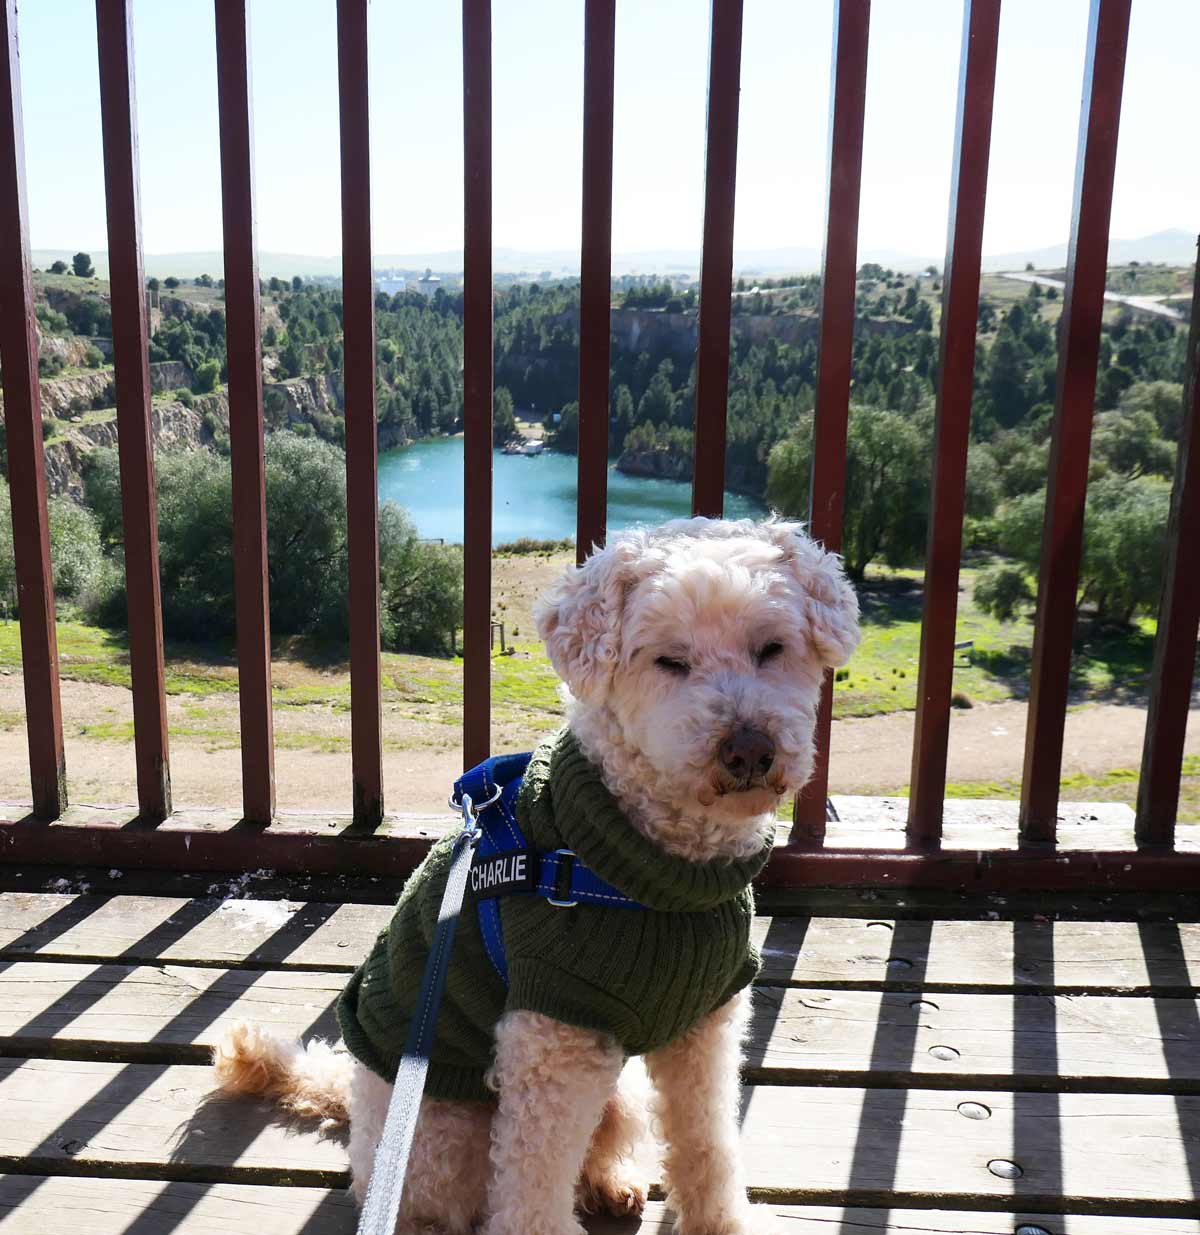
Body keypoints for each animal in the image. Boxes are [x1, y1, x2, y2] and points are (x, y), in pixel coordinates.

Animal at [211, 513, 859, 1235]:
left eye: (771, 648)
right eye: (669, 660)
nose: (748, 749)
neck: (651, 874)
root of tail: (357, 1108)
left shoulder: (705, 1027)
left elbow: (707, 1140)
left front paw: (721, 1222)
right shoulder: (553, 1039)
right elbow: (531, 1186)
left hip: (618, 1090)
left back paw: (611, 1183)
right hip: (439, 1139)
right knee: (434, 1204)